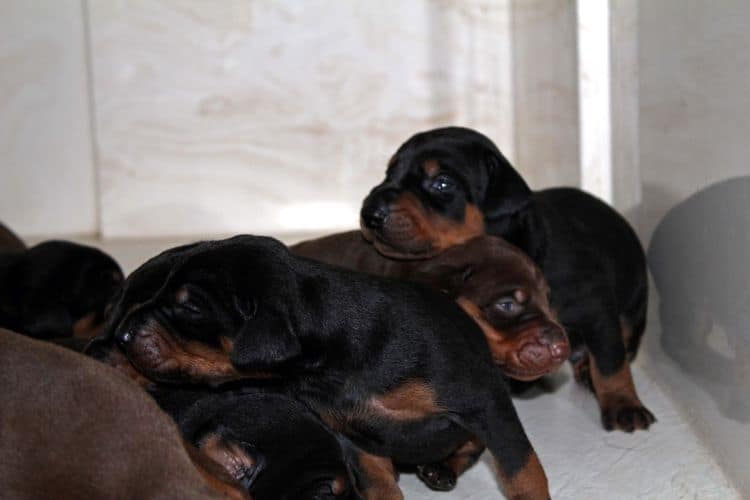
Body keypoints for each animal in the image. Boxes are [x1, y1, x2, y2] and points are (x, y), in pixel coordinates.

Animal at [362, 126, 656, 434]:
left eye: (442, 183)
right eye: (389, 173)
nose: (369, 213)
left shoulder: (595, 306)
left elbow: (611, 361)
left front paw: (624, 405)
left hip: (633, 305)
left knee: (623, 340)